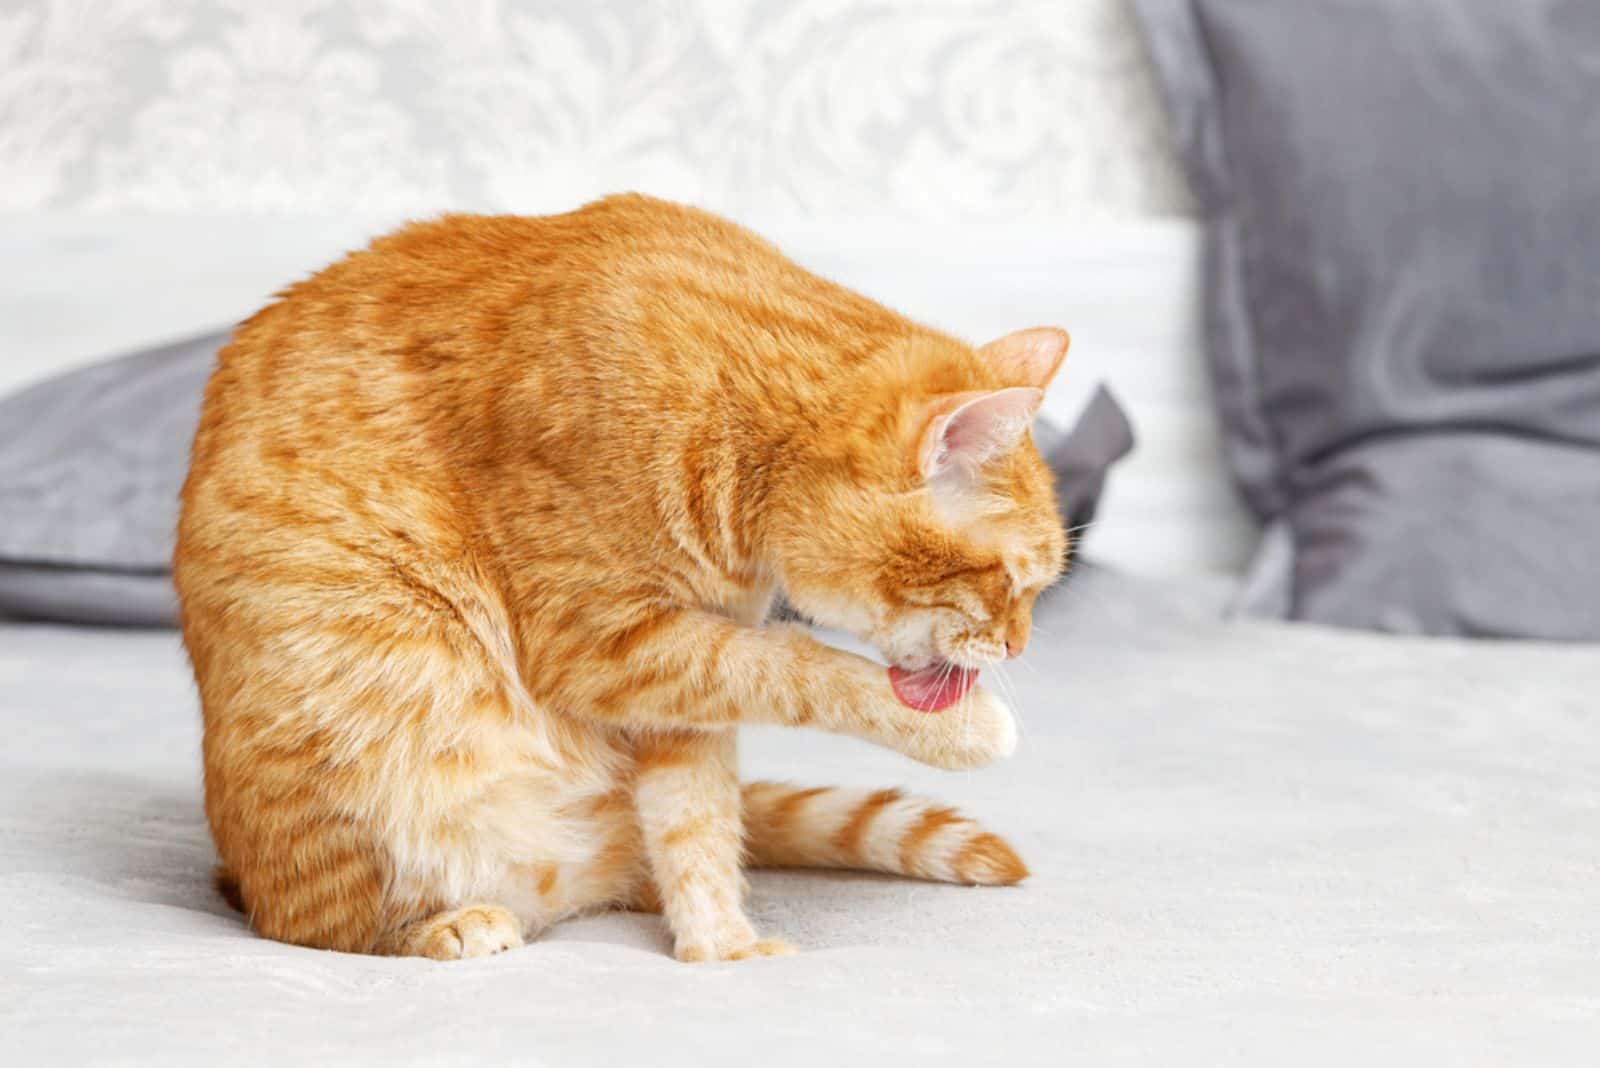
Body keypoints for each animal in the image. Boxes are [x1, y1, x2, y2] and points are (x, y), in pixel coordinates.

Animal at [175, 194, 1068, 965]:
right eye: (1012, 581)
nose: (1020, 648)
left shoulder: (678, 679)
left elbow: (699, 817)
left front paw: (720, 946)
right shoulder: (604, 643)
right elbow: (803, 666)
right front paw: (962, 730)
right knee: (311, 925)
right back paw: (446, 925)